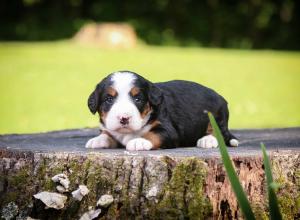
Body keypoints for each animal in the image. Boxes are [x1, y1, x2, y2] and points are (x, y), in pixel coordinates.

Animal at [85, 71, 238, 150]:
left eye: (138, 99)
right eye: (109, 99)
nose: (124, 118)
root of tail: (221, 97)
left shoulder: (168, 130)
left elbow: (153, 134)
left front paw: (139, 141)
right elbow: (106, 133)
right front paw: (97, 140)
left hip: (217, 115)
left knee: (219, 133)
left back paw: (207, 140)